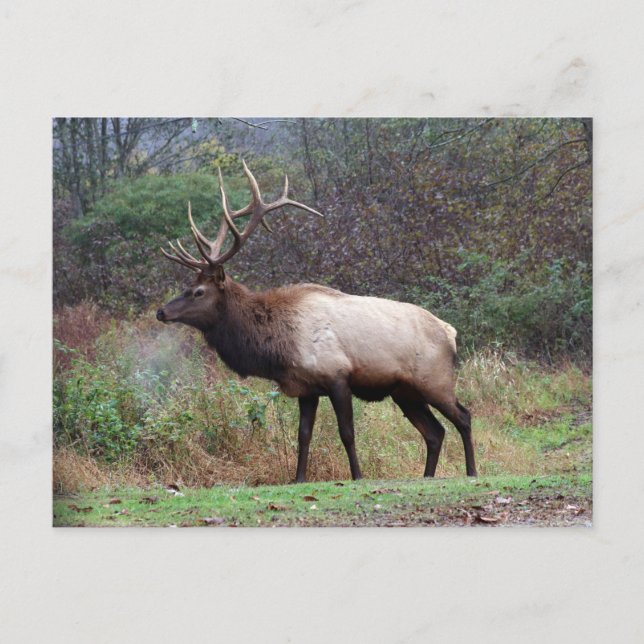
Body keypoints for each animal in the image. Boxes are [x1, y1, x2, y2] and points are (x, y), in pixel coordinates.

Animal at [156, 162, 476, 482]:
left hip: (434, 379)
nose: (161, 312)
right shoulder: (306, 388)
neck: (278, 348)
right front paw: (298, 478)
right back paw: (427, 476)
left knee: (463, 416)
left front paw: (357, 476)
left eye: (198, 291)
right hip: (405, 392)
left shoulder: (337, 376)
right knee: (434, 432)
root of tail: (450, 333)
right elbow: (303, 435)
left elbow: (347, 433)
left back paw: (472, 471)